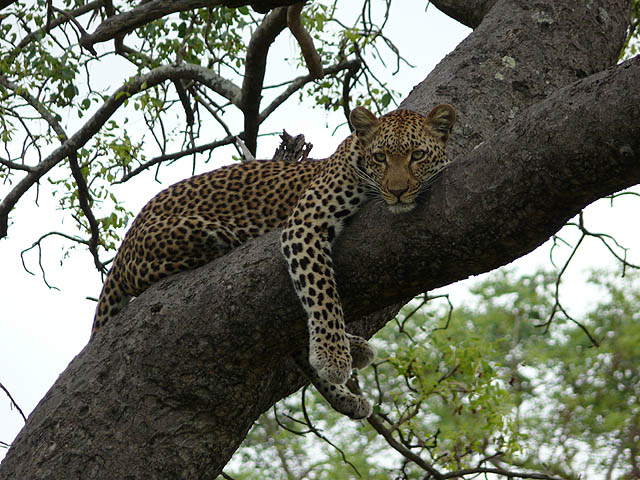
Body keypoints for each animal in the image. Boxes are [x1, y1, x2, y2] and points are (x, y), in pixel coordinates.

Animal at [92, 103, 458, 418]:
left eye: (417, 155)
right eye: (381, 158)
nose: (396, 191)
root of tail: (123, 245)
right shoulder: (304, 225)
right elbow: (323, 294)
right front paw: (333, 357)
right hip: (202, 235)